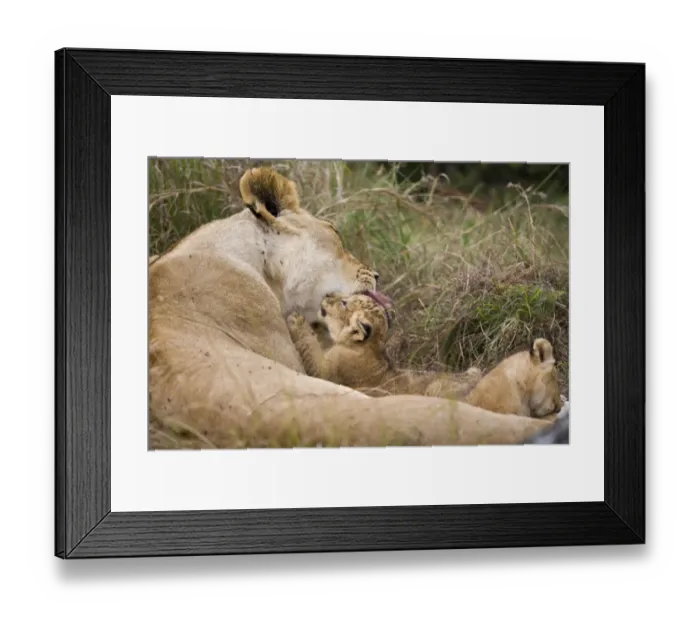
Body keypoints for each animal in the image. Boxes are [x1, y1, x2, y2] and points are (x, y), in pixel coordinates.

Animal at [287, 292, 483, 399]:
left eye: (344, 303)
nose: (327, 294)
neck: (371, 346)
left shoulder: (327, 372)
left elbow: (311, 352)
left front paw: (297, 320)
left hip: (436, 388)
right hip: (473, 369)